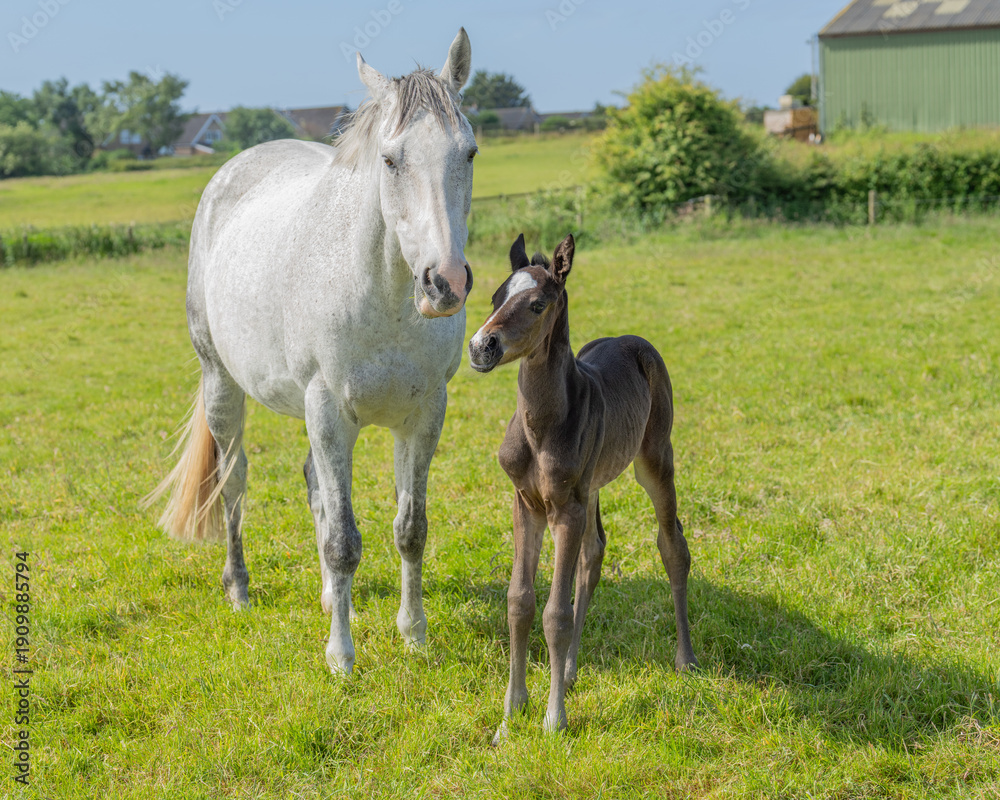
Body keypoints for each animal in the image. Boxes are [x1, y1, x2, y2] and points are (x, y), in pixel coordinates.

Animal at [145, 30, 477, 675]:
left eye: (469, 153)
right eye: (390, 159)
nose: (444, 283)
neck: (383, 297)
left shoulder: (424, 414)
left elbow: (410, 528)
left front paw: (414, 635)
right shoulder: (328, 409)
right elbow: (343, 540)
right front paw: (341, 657)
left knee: (313, 485)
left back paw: (327, 596)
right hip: (222, 384)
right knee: (234, 482)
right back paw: (239, 588)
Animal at [468, 234, 698, 738]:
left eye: (537, 304)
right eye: (495, 297)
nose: (480, 346)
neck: (541, 426)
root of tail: (633, 340)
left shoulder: (565, 509)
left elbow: (555, 612)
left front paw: (554, 719)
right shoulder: (527, 503)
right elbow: (520, 602)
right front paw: (510, 715)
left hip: (654, 460)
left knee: (672, 545)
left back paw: (686, 658)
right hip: (591, 486)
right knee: (594, 556)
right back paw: (571, 671)